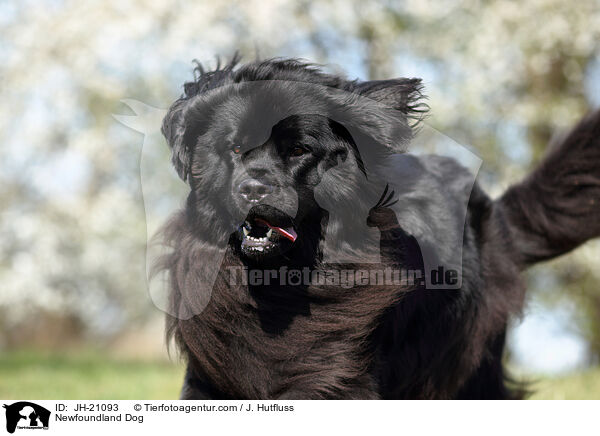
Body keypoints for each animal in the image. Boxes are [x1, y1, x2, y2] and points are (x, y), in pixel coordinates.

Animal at [158, 56, 600, 400]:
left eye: (298, 150)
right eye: (234, 148)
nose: (252, 189)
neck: (278, 287)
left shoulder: (337, 377)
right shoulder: (211, 375)